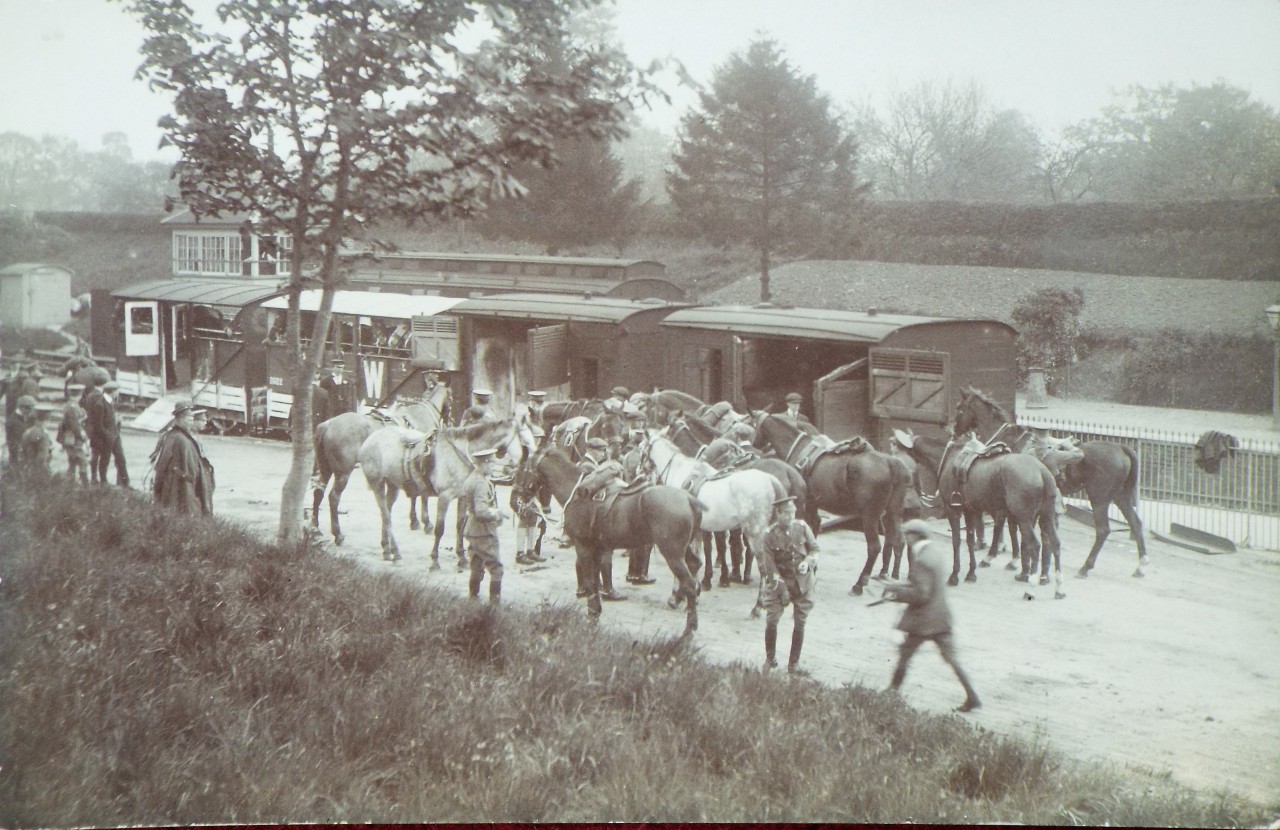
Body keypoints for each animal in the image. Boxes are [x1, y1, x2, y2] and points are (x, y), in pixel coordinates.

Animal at [514, 448, 706, 635]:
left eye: (523, 470)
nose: (518, 500)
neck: (576, 491)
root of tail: (689, 499)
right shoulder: (597, 549)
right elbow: (596, 579)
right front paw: (595, 612)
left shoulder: (583, 547)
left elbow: (590, 582)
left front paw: (592, 615)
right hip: (684, 551)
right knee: (694, 568)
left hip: (672, 554)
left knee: (689, 583)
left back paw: (689, 627)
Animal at [747, 415, 911, 596]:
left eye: (753, 425)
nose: (753, 445)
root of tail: (891, 462)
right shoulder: (813, 504)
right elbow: (814, 529)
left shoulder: (806, 504)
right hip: (892, 511)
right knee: (898, 540)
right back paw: (889, 574)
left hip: (870, 515)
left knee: (874, 546)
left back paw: (859, 584)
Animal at [952, 386, 1152, 576]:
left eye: (960, 409)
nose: (953, 431)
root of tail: (1121, 447)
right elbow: (1012, 528)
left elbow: (1005, 526)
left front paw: (999, 556)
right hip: (1120, 497)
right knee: (1135, 523)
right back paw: (1141, 566)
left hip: (1099, 498)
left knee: (1103, 530)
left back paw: (1085, 567)